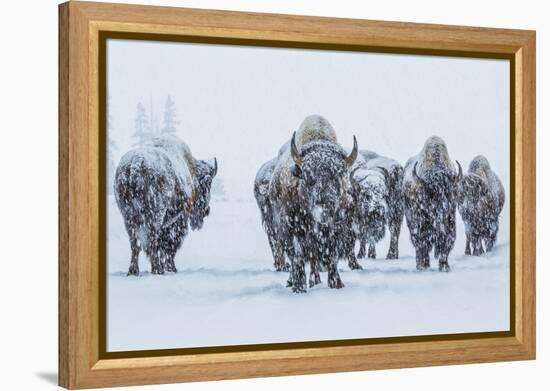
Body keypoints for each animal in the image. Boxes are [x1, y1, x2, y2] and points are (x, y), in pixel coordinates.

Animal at [114, 136, 218, 278]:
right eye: (208, 184)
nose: (207, 211)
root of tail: (136, 162)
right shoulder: (178, 219)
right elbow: (170, 244)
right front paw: (172, 268)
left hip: (128, 217)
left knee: (135, 243)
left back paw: (133, 271)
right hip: (155, 215)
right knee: (152, 239)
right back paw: (157, 270)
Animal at [270, 115, 360, 292]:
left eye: (339, 174)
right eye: (307, 175)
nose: (326, 205)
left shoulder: (337, 228)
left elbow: (331, 255)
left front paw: (336, 284)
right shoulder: (293, 228)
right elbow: (297, 256)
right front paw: (299, 286)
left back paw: (315, 280)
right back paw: (294, 281)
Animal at [404, 137, 464, 272]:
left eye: (450, 193)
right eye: (431, 193)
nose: (443, 209)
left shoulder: (449, 224)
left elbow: (446, 245)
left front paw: (445, 267)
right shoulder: (420, 224)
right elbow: (422, 244)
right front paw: (423, 266)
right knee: (419, 245)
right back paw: (421, 265)